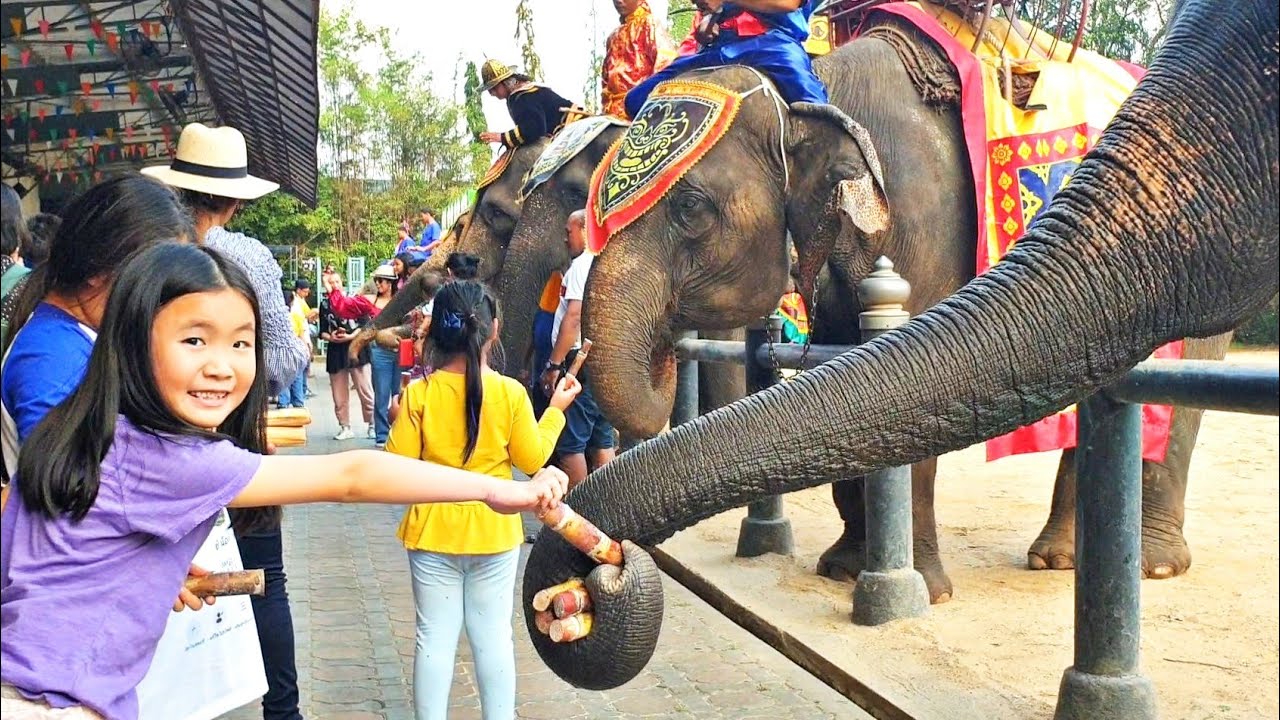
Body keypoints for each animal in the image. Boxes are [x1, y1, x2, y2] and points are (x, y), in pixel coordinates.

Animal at [517, 0, 1269, 691]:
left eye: (691, 207)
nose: (595, 577)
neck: (817, 83)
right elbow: (845, 359)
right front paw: (841, 567)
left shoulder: (923, 207)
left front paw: (920, 593)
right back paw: (1056, 558)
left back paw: (1152, 563)